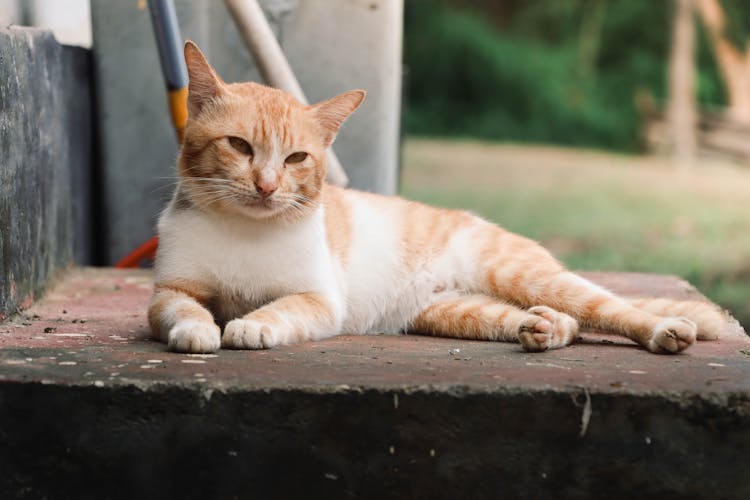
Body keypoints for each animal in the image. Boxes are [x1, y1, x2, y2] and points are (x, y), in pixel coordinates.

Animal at [148, 44, 728, 356]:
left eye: (295, 159)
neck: (245, 230)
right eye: (240, 146)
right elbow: (184, 309)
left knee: (610, 308)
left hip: (519, 273)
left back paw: (663, 331)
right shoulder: (169, 292)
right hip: (454, 310)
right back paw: (542, 328)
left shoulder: (319, 299)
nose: (268, 185)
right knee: (565, 322)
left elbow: (281, 307)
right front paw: (200, 330)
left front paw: (251, 323)